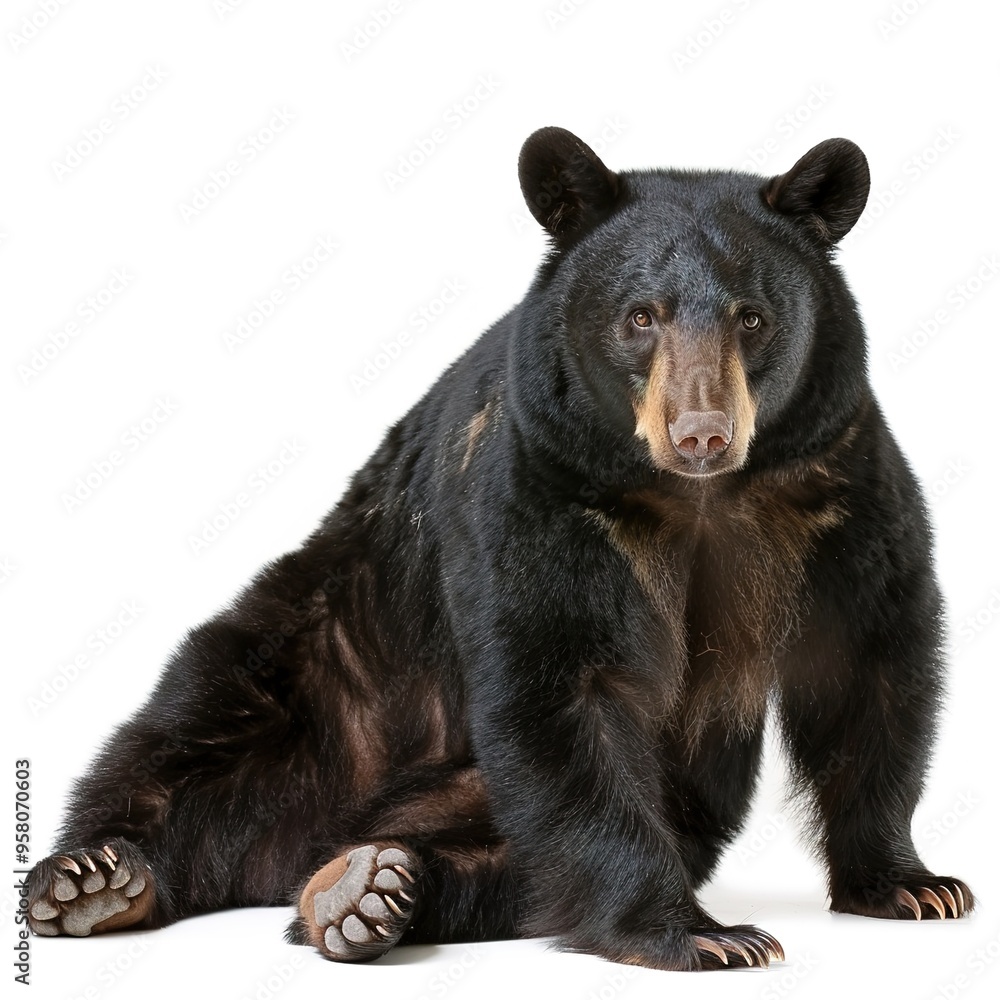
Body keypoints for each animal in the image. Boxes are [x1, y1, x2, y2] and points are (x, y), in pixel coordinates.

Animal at [27, 127, 972, 971]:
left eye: (752, 316)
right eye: (640, 316)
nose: (701, 431)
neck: (696, 497)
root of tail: (314, 836)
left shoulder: (835, 488)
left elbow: (871, 664)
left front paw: (912, 883)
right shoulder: (543, 488)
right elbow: (558, 681)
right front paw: (702, 934)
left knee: (510, 876)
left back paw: (365, 891)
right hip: (318, 655)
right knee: (188, 734)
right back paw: (97, 878)